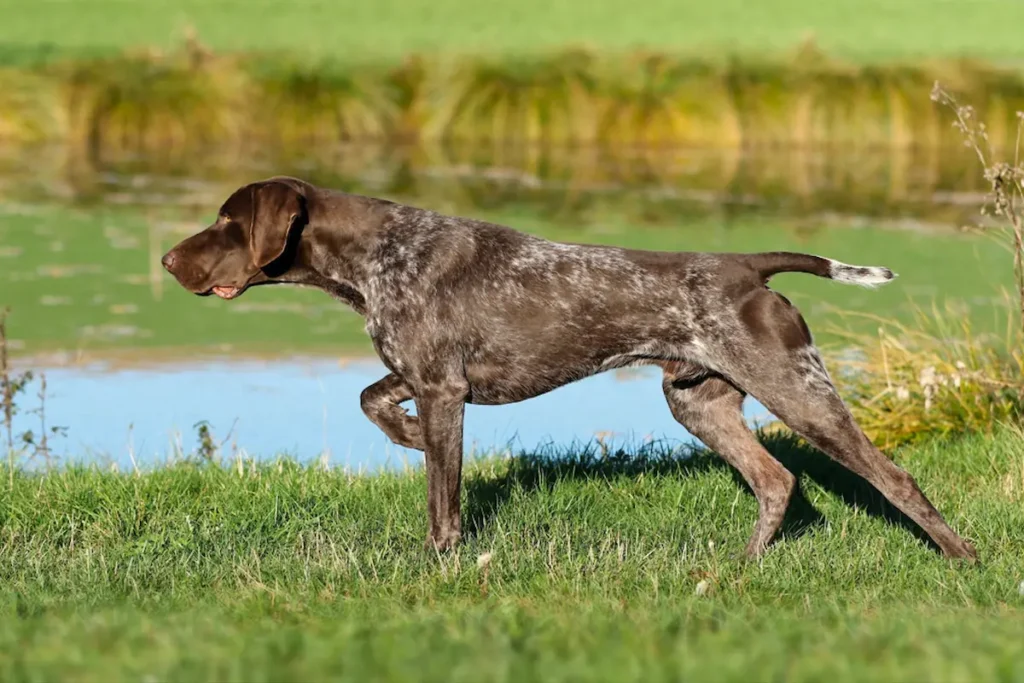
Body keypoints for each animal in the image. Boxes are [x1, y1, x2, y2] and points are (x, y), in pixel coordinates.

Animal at [159, 178, 974, 561]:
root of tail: (748, 266)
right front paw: (408, 437)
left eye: (228, 223)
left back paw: (962, 557)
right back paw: (742, 566)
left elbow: (443, 500)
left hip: (797, 389)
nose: (166, 260)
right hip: (699, 402)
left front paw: (440, 559)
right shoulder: (421, 375)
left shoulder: (444, 388)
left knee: (891, 476)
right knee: (777, 480)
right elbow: (372, 400)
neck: (373, 257)